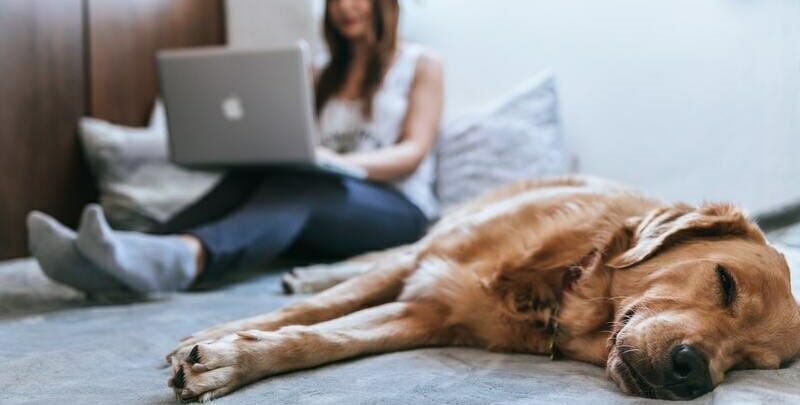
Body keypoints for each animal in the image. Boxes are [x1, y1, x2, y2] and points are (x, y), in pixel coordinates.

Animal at [166, 176, 796, 400]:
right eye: (724, 282)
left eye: (750, 363)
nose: (694, 373)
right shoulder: (426, 264)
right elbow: (326, 307)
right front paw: (217, 336)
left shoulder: (424, 315)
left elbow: (323, 338)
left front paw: (228, 360)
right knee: (369, 261)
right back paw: (308, 271)